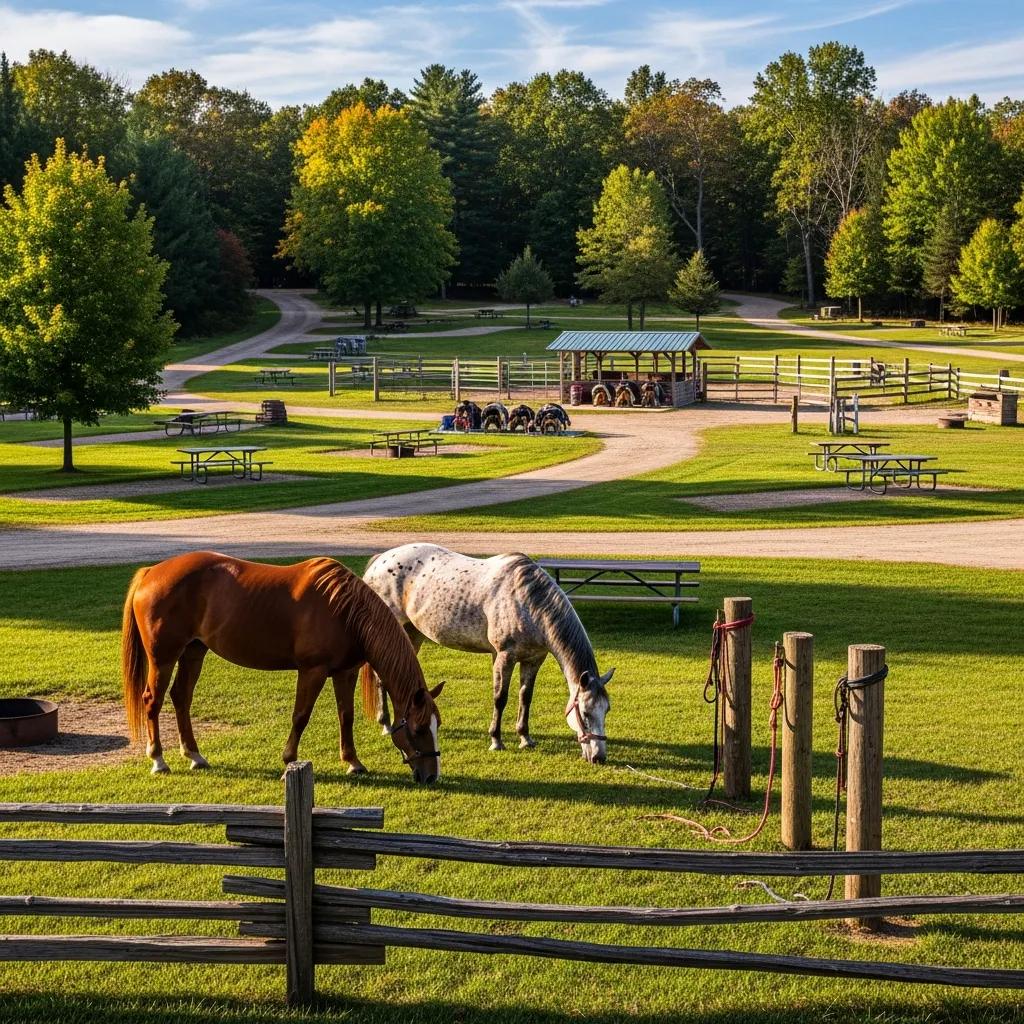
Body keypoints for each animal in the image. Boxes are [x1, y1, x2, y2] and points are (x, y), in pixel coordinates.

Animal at [121, 551, 444, 782]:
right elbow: (301, 716)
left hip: (193, 652)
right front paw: (289, 759)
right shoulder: (312, 671)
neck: (343, 609)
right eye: (417, 729)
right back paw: (158, 760)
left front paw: (353, 762)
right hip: (163, 658)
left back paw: (194, 755)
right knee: (153, 700)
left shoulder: (345, 672)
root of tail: (151, 572)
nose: (431, 777)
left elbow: (346, 716)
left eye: (436, 725)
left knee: (181, 697)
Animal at [362, 543, 613, 764]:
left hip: (413, 633)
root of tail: (381, 560)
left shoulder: (533, 660)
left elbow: (526, 697)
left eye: (607, 710)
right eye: (585, 713)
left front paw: (525, 738)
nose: (599, 757)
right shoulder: (504, 656)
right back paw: (386, 724)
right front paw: (496, 740)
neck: (527, 602)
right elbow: (500, 698)